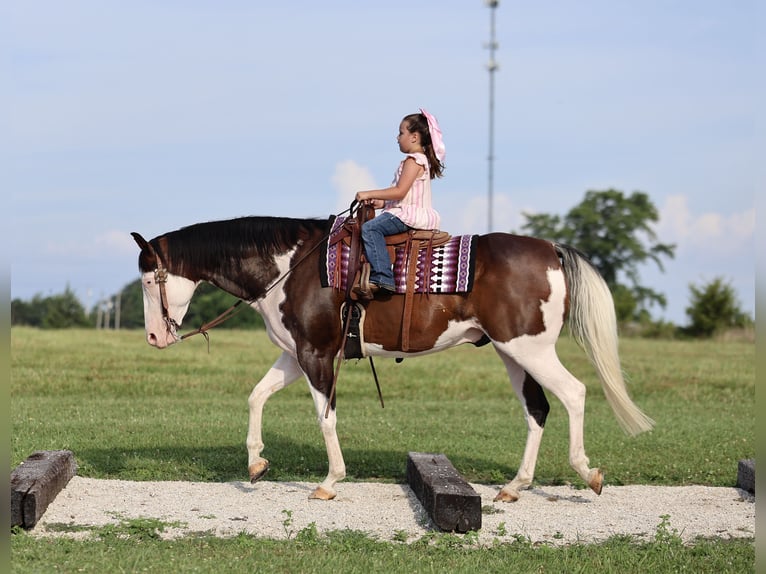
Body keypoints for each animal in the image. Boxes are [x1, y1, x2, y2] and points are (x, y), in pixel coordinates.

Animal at [131, 214, 654, 502]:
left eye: (148, 278)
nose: (154, 337)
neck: (291, 266)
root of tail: (550, 249)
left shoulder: (316, 354)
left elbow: (325, 417)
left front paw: (330, 480)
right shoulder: (297, 355)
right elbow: (256, 396)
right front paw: (257, 463)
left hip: (530, 348)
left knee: (574, 393)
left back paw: (587, 472)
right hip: (512, 355)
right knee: (537, 410)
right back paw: (514, 486)